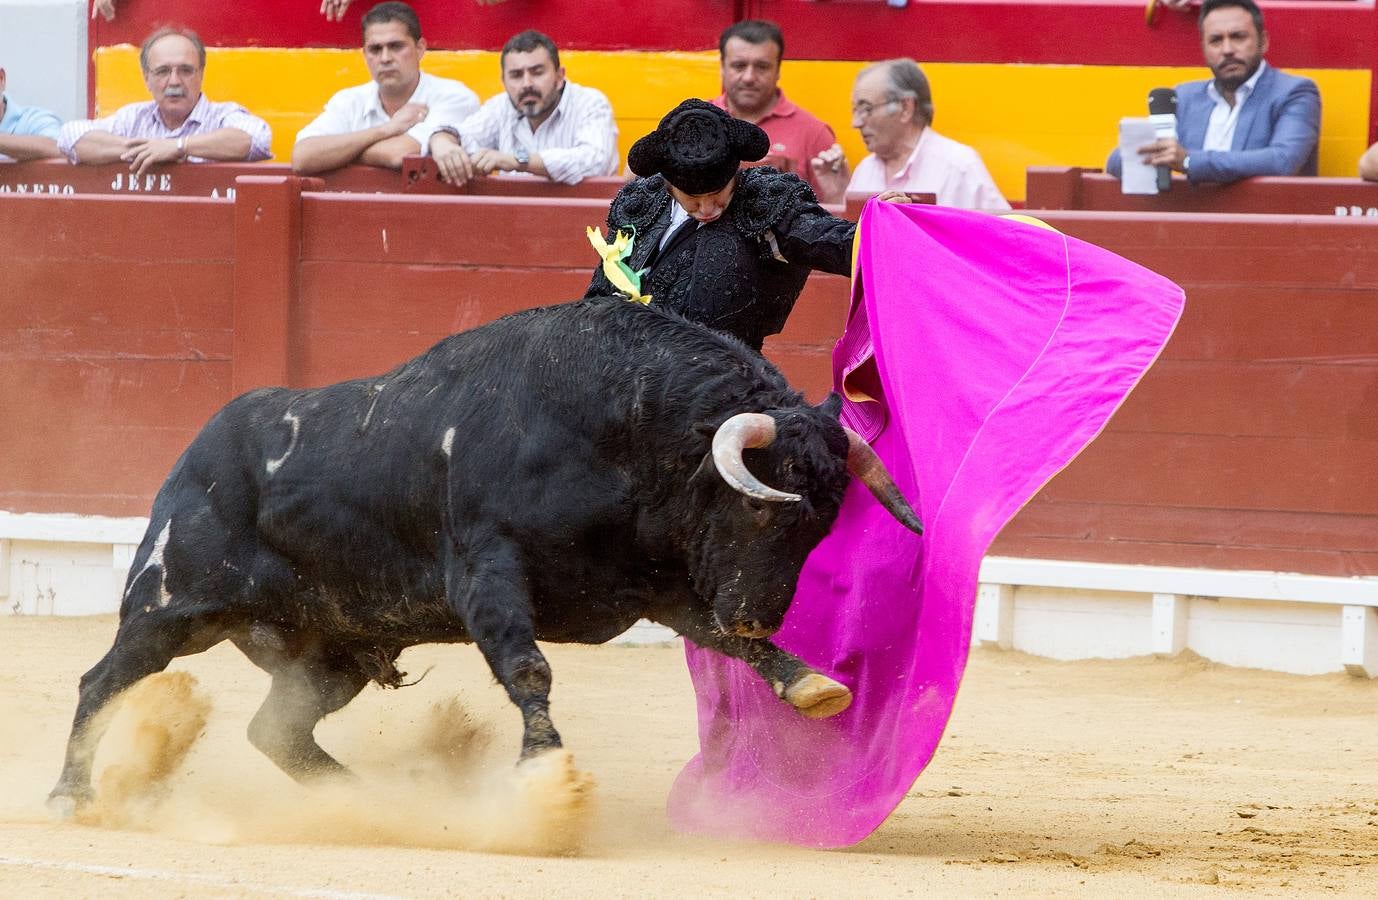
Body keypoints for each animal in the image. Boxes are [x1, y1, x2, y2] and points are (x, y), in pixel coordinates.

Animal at [48, 296, 920, 815]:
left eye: (822, 527)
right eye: (760, 507)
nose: (758, 612)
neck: (619, 428)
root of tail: (199, 448)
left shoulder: (656, 587)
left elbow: (718, 639)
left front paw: (810, 685)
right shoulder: (486, 570)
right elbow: (527, 667)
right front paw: (546, 777)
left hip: (333, 652)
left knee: (277, 730)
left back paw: (362, 804)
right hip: (170, 604)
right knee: (103, 680)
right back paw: (69, 794)